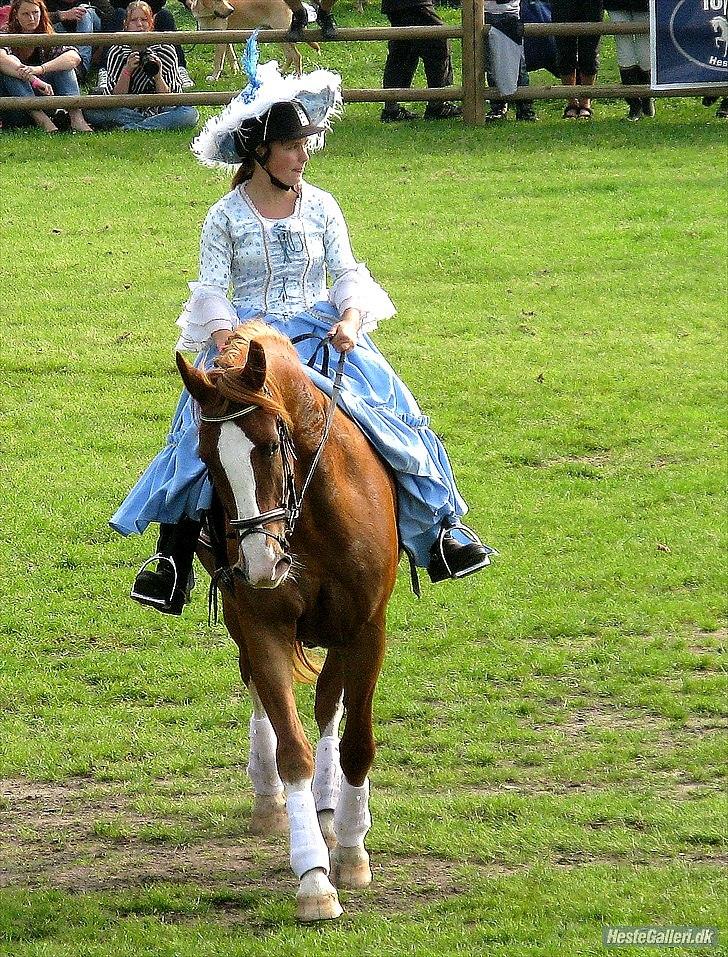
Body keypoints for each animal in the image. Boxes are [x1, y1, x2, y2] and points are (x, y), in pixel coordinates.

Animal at [177, 324, 400, 924]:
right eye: (207, 459)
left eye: (271, 445)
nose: (262, 563)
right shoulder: (262, 624)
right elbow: (291, 746)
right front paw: (315, 879)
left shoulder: (365, 627)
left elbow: (355, 740)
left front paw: (350, 852)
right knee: (259, 689)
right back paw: (270, 798)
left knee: (328, 705)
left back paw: (330, 809)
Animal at [192, 0, 320, 80]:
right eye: (218, 1)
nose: (232, 10)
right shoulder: (225, 38)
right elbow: (231, 57)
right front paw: (235, 72)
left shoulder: (220, 40)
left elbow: (218, 61)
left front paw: (214, 77)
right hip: (277, 35)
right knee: (290, 56)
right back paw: (281, 71)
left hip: (283, 34)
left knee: (296, 56)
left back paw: (298, 77)